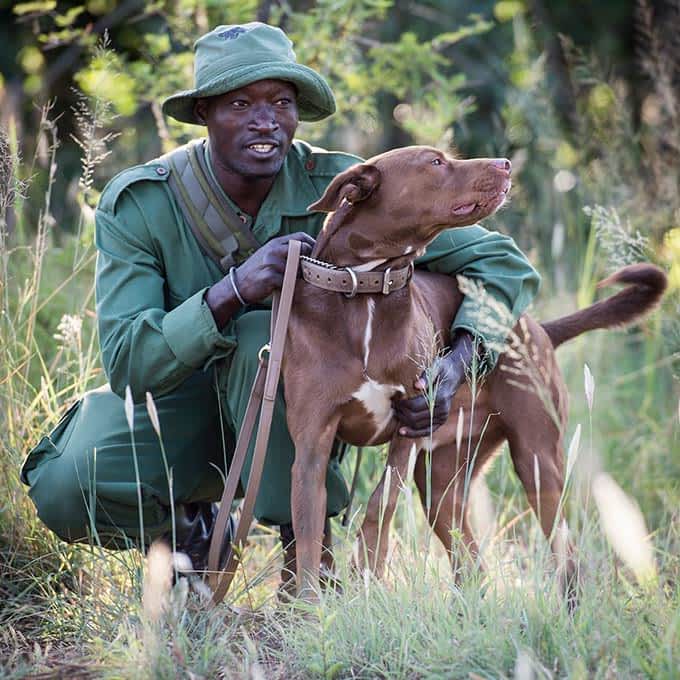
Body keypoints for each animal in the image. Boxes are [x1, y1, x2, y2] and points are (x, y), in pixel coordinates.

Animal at [278, 146, 668, 596]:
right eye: (435, 162)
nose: (506, 164)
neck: (365, 288)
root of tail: (534, 326)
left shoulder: (410, 426)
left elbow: (381, 502)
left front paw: (368, 570)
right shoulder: (312, 446)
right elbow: (308, 532)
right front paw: (311, 603)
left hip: (537, 460)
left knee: (565, 552)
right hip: (443, 479)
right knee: (471, 559)